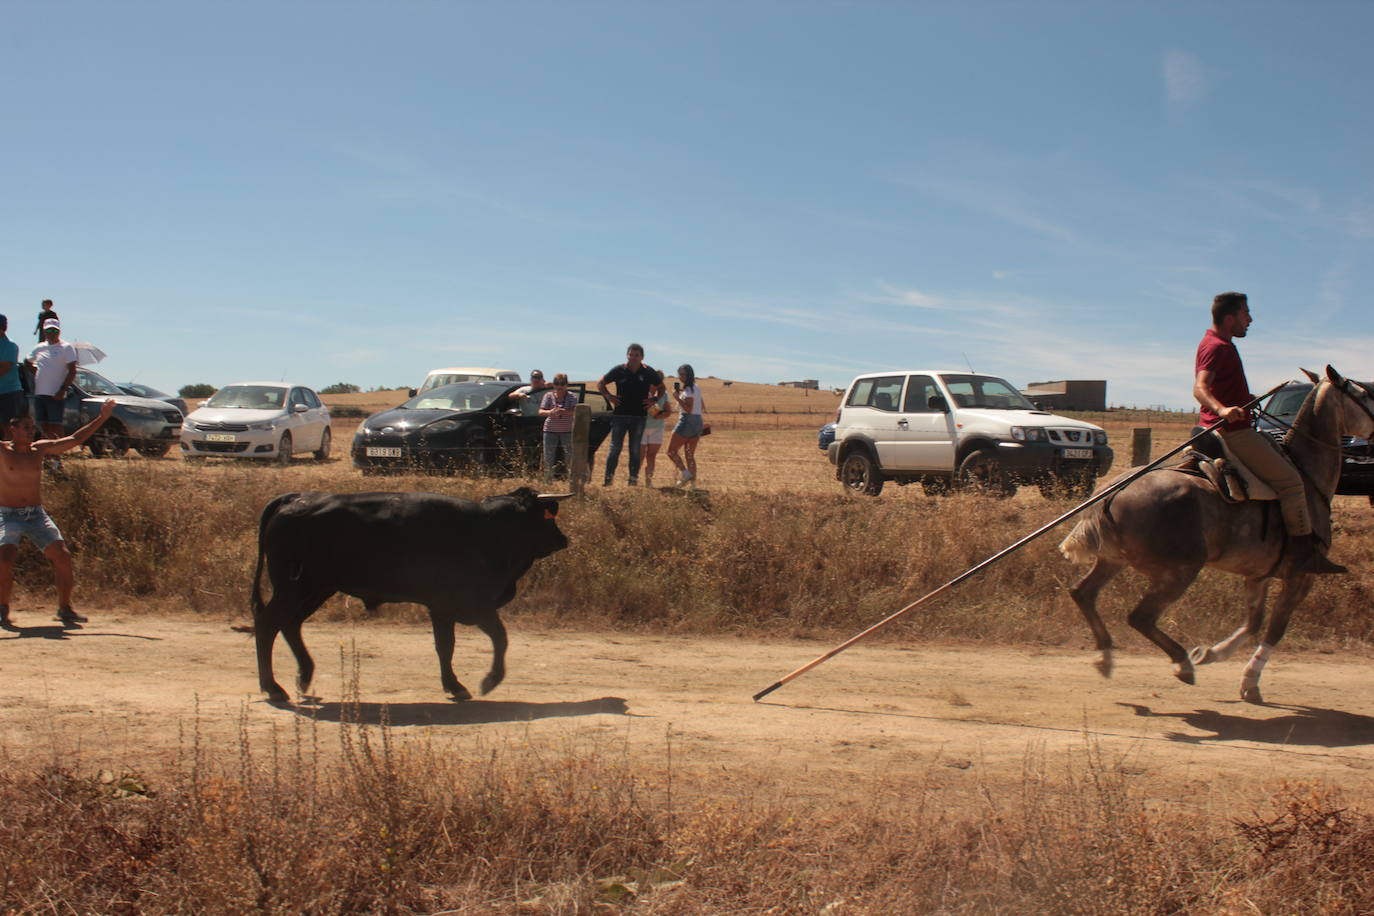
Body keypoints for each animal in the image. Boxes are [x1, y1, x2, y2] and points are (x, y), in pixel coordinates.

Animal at [250, 486, 566, 703]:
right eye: (546, 517)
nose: (563, 539)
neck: (489, 529)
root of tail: (295, 499)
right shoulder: (470, 604)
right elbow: (498, 637)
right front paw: (488, 681)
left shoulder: (442, 608)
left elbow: (446, 646)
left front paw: (454, 685)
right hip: (295, 588)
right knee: (268, 625)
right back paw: (272, 687)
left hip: (316, 589)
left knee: (290, 625)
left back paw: (303, 676)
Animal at [1060, 365, 1374, 703]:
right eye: (1364, 394)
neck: (1306, 474)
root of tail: (1113, 492)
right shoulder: (1301, 576)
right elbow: (1276, 628)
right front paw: (1249, 680)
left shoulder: (1258, 574)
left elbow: (1253, 622)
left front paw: (1211, 654)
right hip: (1178, 571)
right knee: (1140, 617)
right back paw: (1181, 663)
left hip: (1113, 560)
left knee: (1083, 593)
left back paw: (1106, 656)